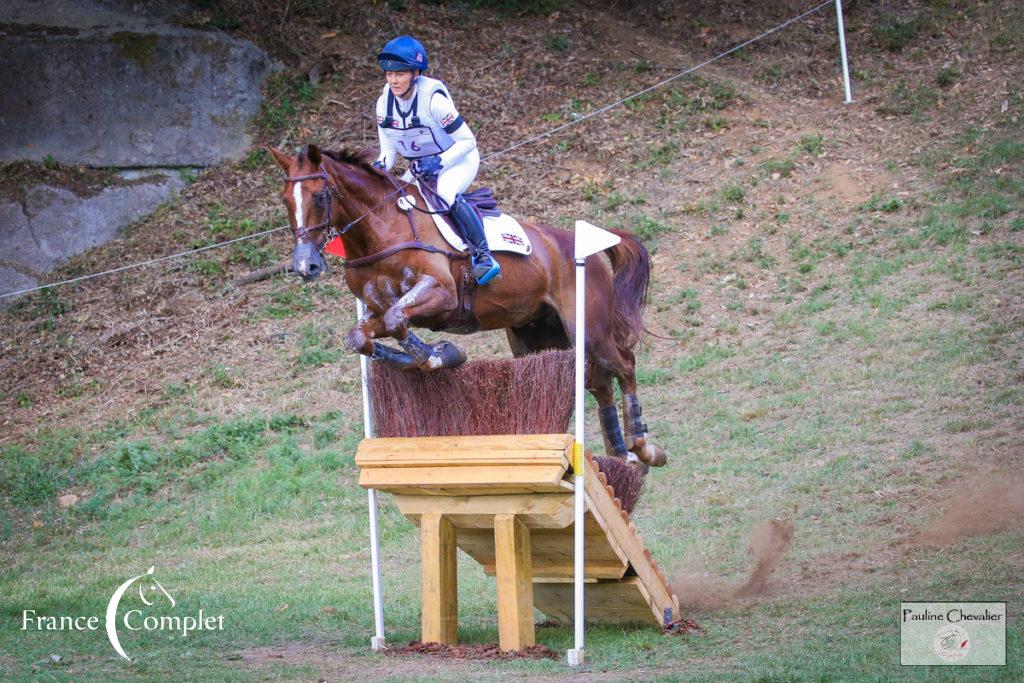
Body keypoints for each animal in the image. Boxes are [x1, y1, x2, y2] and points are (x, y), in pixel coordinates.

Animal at [264, 143, 667, 464]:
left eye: (319, 196)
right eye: (285, 201)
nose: (306, 266)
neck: (382, 228)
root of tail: (592, 249)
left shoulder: (440, 294)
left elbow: (398, 320)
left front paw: (440, 354)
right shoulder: (376, 311)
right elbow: (362, 336)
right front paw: (428, 357)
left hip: (589, 328)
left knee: (625, 365)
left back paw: (644, 447)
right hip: (538, 338)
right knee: (598, 382)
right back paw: (620, 453)